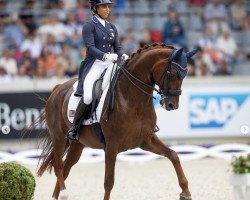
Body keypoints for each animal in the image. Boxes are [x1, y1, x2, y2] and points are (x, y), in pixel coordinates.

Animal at [37, 43, 197, 200]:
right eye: (172, 74)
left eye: (184, 75)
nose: (172, 105)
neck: (131, 99)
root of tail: (58, 88)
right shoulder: (111, 146)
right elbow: (109, 182)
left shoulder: (146, 140)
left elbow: (173, 155)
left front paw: (186, 192)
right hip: (59, 137)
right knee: (58, 167)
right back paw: (64, 193)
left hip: (78, 144)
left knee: (65, 169)